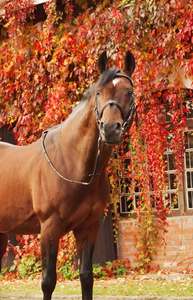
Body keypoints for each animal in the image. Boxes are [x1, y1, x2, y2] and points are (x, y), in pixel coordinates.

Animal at [0, 50, 136, 298]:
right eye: (99, 92)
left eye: (129, 92)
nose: (109, 129)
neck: (73, 163)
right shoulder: (49, 229)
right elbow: (48, 281)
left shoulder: (88, 227)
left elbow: (86, 278)